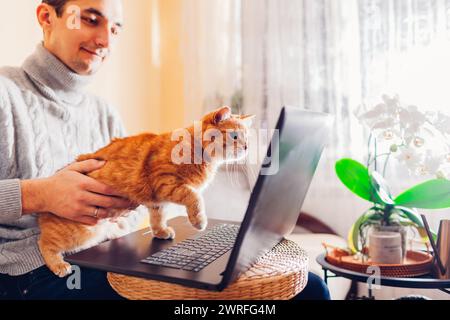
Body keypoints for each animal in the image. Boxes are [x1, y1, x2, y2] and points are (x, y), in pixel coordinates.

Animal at [38, 106, 255, 276]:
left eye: (247, 138)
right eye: (235, 136)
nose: (246, 147)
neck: (195, 149)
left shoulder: (157, 200)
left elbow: (157, 218)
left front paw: (160, 232)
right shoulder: (165, 182)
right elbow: (194, 197)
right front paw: (199, 221)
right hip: (80, 232)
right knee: (45, 244)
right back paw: (59, 265)